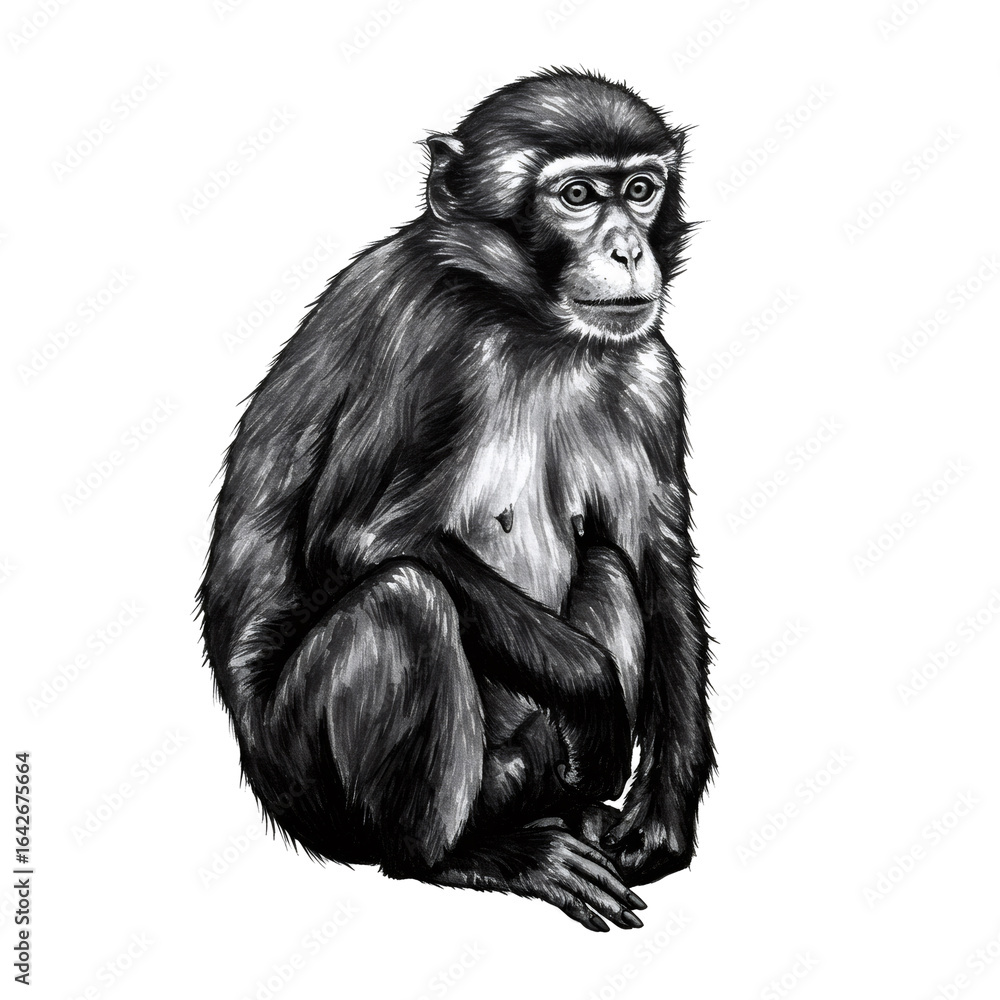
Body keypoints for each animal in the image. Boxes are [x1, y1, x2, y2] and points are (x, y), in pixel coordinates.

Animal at [199, 68, 715, 933]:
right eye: (577, 195)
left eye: (641, 190)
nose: (626, 248)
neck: (526, 323)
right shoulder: (425, 339)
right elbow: (358, 540)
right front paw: (595, 692)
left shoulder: (648, 371)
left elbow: (656, 556)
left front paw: (664, 814)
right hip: (308, 784)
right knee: (405, 600)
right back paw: (466, 855)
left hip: (523, 761)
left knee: (608, 565)